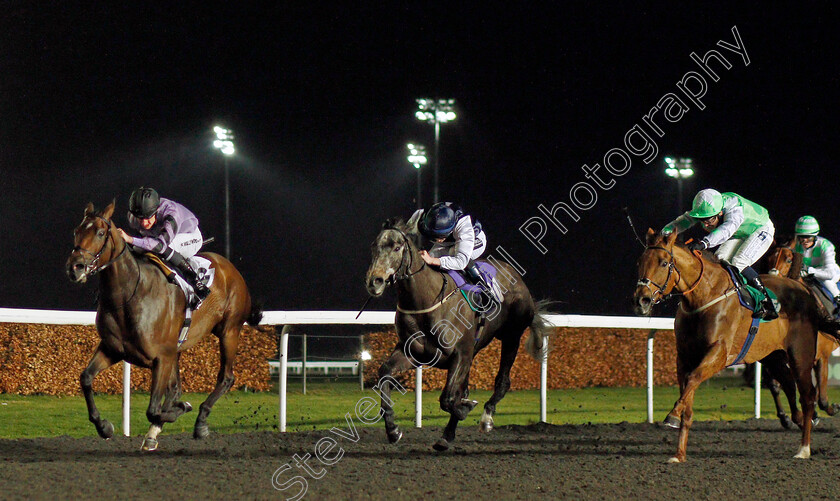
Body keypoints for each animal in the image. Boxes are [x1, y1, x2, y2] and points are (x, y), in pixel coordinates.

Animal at [65, 201, 260, 452]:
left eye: (100, 233)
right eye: (76, 231)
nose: (75, 268)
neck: (129, 295)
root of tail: (229, 267)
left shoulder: (161, 357)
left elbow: (154, 410)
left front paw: (182, 408)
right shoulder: (113, 349)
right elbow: (86, 378)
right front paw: (104, 426)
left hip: (229, 330)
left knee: (226, 377)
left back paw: (200, 421)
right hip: (178, 348)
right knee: (176, 388)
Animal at [362, 217, 548, 452]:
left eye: (396, 247)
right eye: (373, 246)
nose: (374, 281)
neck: (427, 301)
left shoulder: (460, 353)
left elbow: (448, 399)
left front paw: (466, 409)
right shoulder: (413, 353)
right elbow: (385, 372)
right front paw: (393, 430)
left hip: (511, 337)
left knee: (502, 381)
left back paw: (486, 418)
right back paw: (448, 434)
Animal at [636, 229, 828, 460]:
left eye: (664, 263)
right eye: (640, 262)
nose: (642, 300)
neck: (704, 296)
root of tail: (803, 288)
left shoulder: (719, 354)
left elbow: (693, 379)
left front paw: (672, 415)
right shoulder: (684, 357)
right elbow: (688, 395)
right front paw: (679, 453)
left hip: (801, 353)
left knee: (808, 395)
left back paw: (804, 448)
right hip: (772, 355)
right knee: (789, 384)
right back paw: (799, 421)